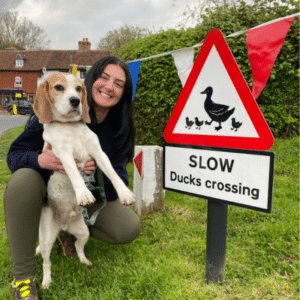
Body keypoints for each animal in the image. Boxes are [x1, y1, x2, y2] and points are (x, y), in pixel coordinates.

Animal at [33, 72, 135, 288]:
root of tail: (63, 224)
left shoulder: (98, 153)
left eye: (79, 88)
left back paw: (85, 261)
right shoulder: (63, 155)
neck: (70, 127)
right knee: (46, 262)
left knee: (79, 248)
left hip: (83, 232)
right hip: (46, 239)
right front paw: (83, 194)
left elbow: (112, 173)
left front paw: (125, 194)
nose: (75, 101)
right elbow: (74, 173)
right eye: (58, 87)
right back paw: (46, 281)